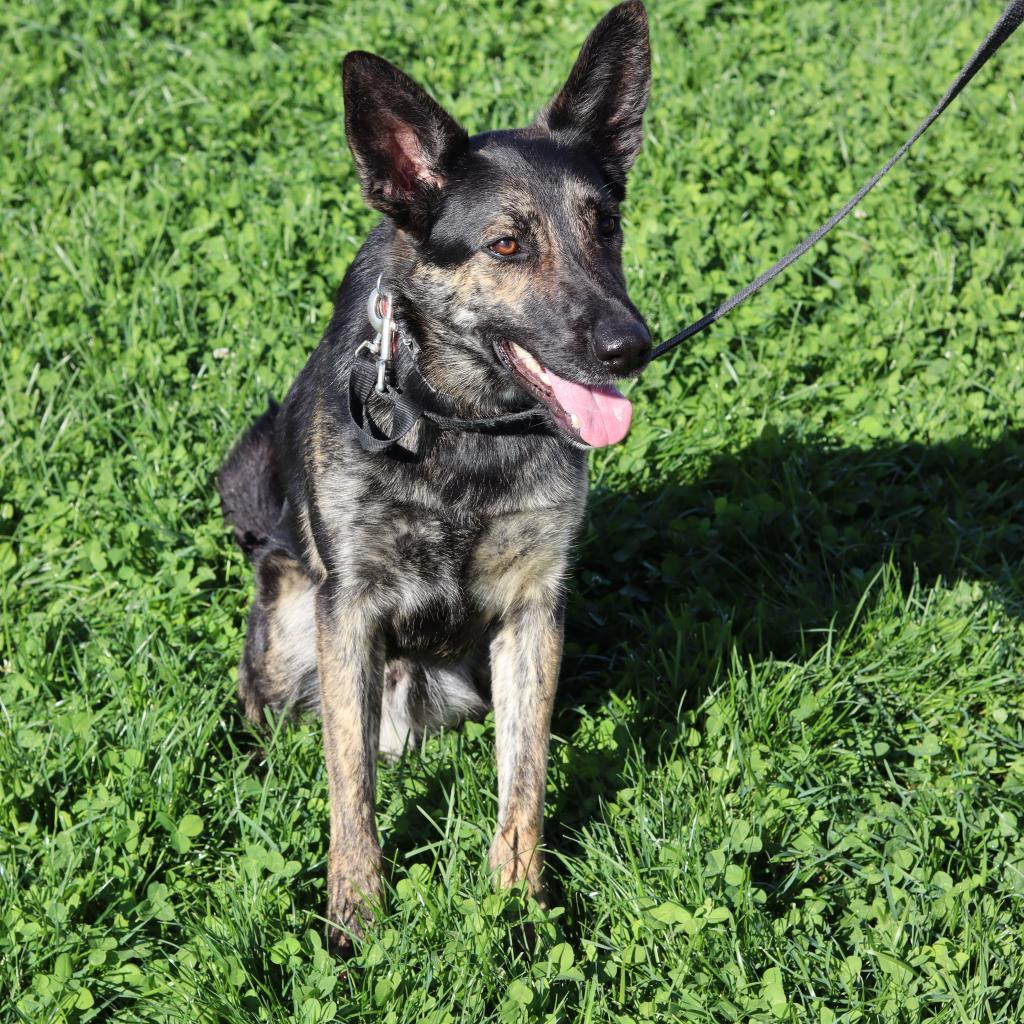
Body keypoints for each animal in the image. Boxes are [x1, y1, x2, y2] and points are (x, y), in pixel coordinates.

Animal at [217, 0, 651, 954]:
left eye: (605, 227)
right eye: (507, 244)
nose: (630, 347)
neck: (465, 426)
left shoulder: (532, 613)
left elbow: (524, 779)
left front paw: (520, 910)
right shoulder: (350, 613)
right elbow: (351, 789)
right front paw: (354, 920)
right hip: (294, 630)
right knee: (268, 714)